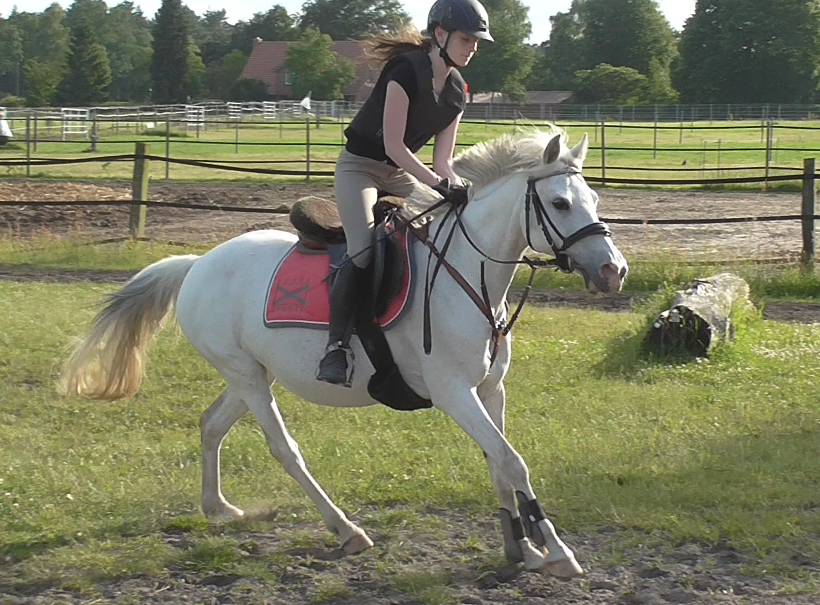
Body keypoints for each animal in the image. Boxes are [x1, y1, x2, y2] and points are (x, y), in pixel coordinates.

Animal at [59, 128, 628, 578]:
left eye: (595, 200)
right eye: (560, 204)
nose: (613, 271)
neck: (466, 274)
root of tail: (197, 263)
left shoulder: (490, 389)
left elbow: (498, 463)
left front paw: (521, 548)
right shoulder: (453, 392)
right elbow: (512, 461)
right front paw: (556, 553)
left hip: (252, 374)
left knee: (210, 424)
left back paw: (218, 507)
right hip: (247, 377)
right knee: (284, 449)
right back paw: (345, 529)